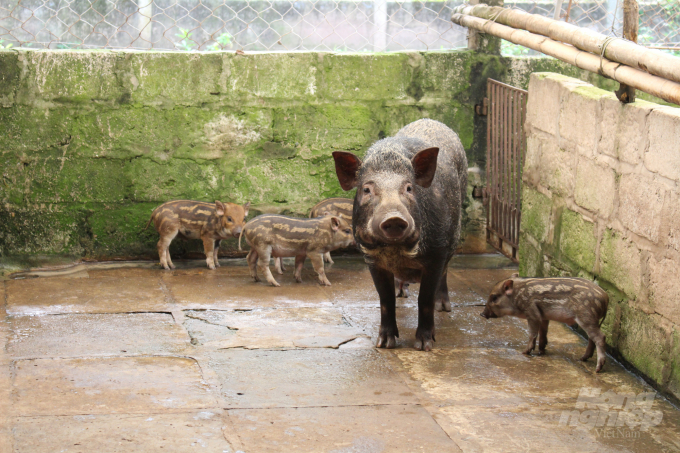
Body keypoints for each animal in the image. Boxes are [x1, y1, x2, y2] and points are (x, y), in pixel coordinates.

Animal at [334, 117, 468, 350]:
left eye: (409, 188)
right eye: (367, 189)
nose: (394, 217)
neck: (395, 252)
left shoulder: (437, 252)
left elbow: (424, 300)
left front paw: (424, 346)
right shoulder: (371, 258)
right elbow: (385, 300)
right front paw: (384, 344)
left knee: (445, 272)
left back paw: (444, 307)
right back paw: (401, 292)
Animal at [480, 276, 608, 370]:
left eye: (494, 297)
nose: (482, 314)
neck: (517, 296)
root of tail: (605, 298)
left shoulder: (532, 313)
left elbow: (532, 333)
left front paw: (525, 352)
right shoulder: (544, 317)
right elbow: (543, 332)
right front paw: (541, 351)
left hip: (586, 317)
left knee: (600, 337)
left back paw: (598, 368)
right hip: (591, 320)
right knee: (592, 338)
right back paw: (582, 359)